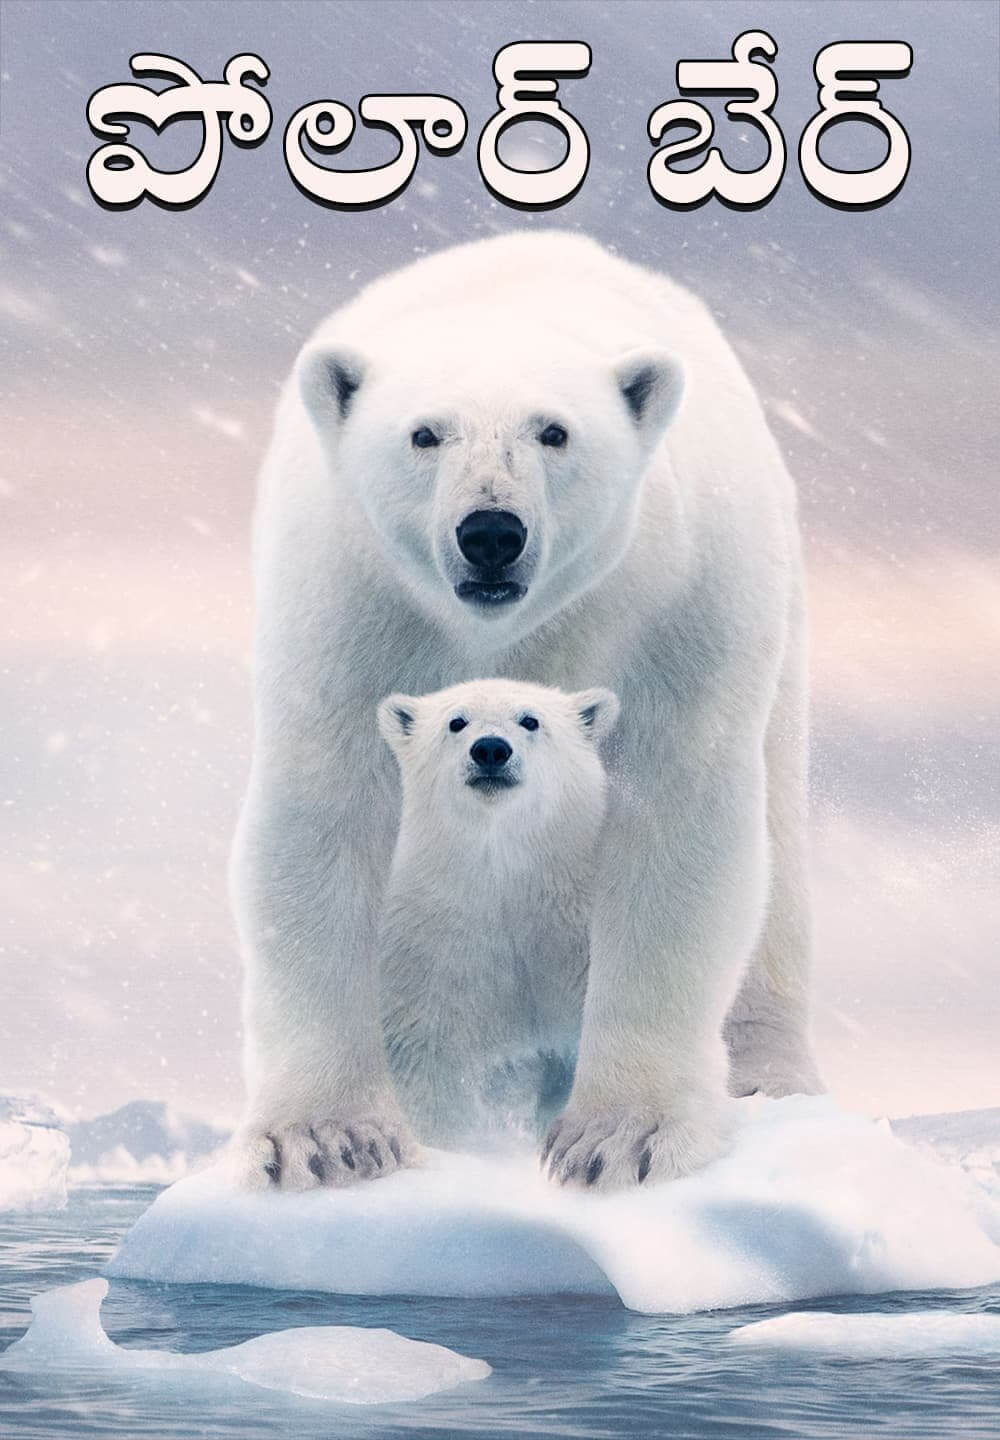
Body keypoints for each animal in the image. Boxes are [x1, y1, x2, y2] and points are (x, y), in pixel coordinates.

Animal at [376, 678, 619, 1158]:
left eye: (530, 719)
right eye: (457, 721)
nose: (490, 749)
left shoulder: (577, 939)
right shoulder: (433, 947)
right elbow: (431, 1058)